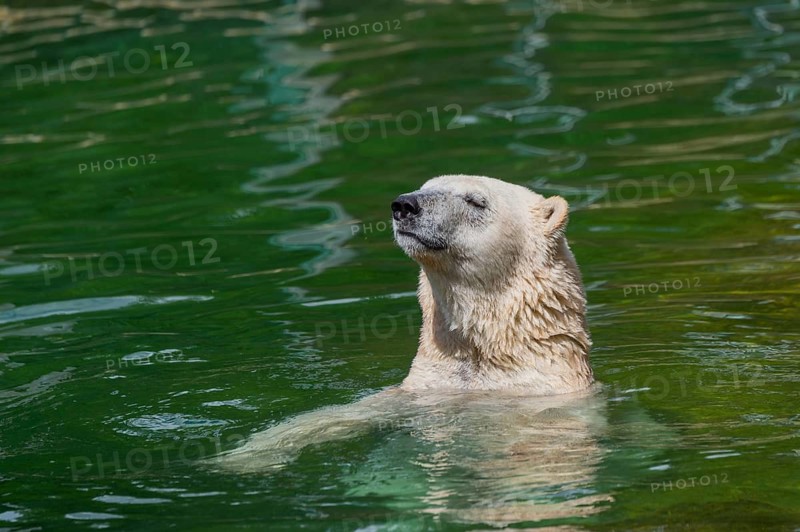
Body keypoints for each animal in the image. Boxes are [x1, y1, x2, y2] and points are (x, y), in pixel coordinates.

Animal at [214, 175, 597, 477]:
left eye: (476, 200)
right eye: (427, 186)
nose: (405, 205)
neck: (489, 349)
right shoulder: (424, 389)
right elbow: (340, 414)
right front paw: (241, 456)